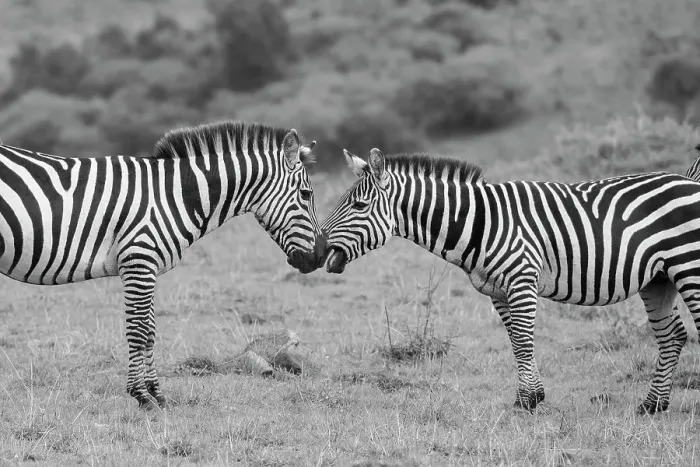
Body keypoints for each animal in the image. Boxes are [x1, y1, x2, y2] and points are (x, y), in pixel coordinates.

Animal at [0, 121, 325, 410]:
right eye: (306, 194)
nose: (321, 256)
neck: (175, 196)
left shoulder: (149, 267)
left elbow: (151, 331)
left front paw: (157, 394)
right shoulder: (139, 260)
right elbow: (139, 330)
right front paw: (142, 397)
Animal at [321, 146, 700, 414]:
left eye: (358, 206)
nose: (318, 248)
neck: (480, 222)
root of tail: (690, 181)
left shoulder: (522, 280)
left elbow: (524, 340)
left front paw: (529, 400)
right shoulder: (497, 291)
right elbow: (516, 342)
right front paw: (530, 396)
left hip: (689, 267)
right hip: (659, 279)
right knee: (672, 335)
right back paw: (652, 405)